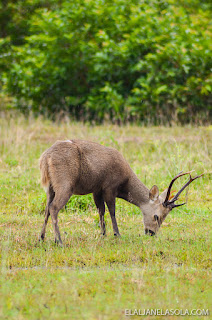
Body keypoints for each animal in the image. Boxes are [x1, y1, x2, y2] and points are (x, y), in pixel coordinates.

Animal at [39, 139, 203, 246]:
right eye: (156, 216)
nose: (151, 233)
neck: (125, 181)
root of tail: (45, 157)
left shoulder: (96, 189)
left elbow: (101, 211)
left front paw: (103, 234)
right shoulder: (109, 186)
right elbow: (112, 210)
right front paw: (117, 234)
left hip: (50, 187)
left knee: (47, 208)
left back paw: (41, 238)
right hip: (65, 183)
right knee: (54, 207)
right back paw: (59, 241)